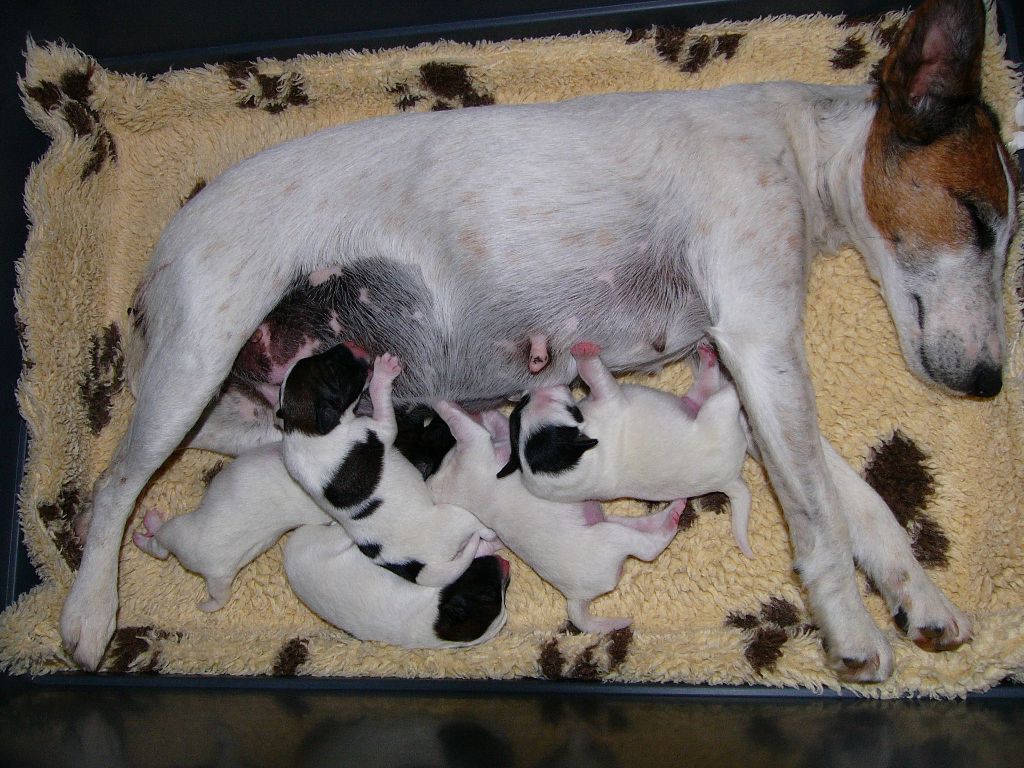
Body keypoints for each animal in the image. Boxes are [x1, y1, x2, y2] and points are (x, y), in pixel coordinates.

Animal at [278, 346, 493, 593]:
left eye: (315, 358)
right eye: (332, 371)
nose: (344, 346)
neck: (303, 429)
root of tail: (417, 567)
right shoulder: (381, 428)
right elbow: (380, 398)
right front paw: (383, 373)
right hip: (455, 517)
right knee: (478, 531)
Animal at [428, 399, 684, 634]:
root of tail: (575, 599)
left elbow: (499, 425)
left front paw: (484, 412)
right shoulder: (474, 444)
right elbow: (458, 421)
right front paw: (443, 402)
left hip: (607, 522)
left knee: (644, 525)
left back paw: (670, 511)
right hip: (610, 536)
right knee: (649, 548)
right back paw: (674, 516)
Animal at [499, 342, 757, 561]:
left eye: (519, 412)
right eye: (560, 406)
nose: (529, 392)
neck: (584, 463)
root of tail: (730, 480)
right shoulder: (609, 396)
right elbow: (595, 373)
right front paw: (584, 352)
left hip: (694, 406)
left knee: (700, 393)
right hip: (715, 411)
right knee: (723, 393)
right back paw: (732, 376)